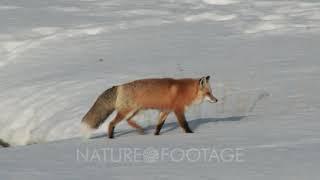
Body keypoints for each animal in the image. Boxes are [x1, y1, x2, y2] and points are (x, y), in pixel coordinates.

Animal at [81, 75, 219, 139]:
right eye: (208, 93)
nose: (216, 100)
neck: (185, 91)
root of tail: (119, 86)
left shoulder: (165, 111)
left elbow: (159, 126)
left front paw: (156, 136)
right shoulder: (178, 110)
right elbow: (184, 124)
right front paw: (191, 134)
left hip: (134, 111)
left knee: (128, 121)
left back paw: (141, 131)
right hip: (127, 111)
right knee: (111, 123)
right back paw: (111, 138)